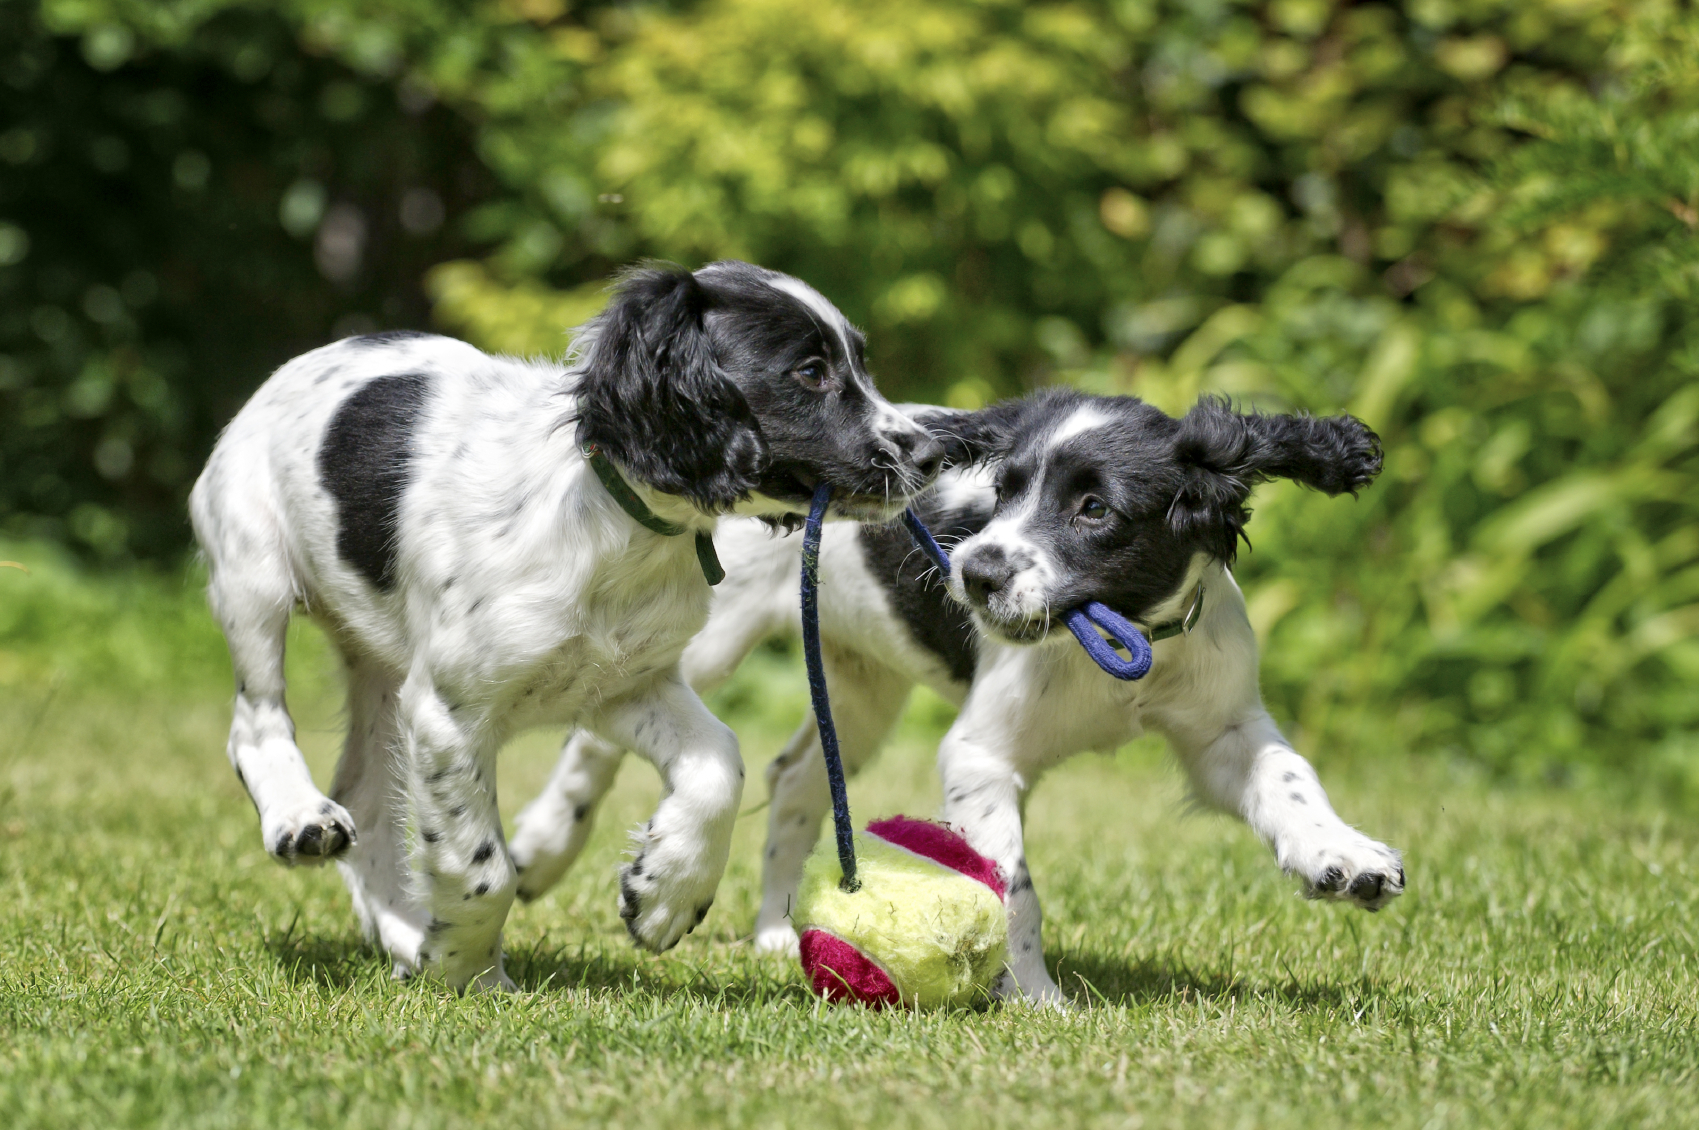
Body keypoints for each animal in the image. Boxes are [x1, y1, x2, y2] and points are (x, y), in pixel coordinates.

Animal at [195, 258, 958, 985]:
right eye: (809, 371)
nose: (931, 454)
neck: (613, 522)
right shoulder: (449, 713)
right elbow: (483, 868)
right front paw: (469, 974)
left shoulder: (623, 683)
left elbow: (719, 762)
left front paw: (664, 895)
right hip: (253, 569)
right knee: (256, 723)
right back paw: (304, 821)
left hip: (380, 662)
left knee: (368, 799)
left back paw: (404, 936)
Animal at [506, 390, 1406, 1005]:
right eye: (1001, 492)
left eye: (1094, 508)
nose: (974, 573)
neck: (1115, 638)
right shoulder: (980, 756)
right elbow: (1010, 881)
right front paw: (1034, 998)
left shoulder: (1221, 726)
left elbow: (1287, 778)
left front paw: (1344, 858)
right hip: (705, 637)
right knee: (600, 735)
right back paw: (549, 852)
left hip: (860, 686)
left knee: (797, 779)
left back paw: (772, 932)